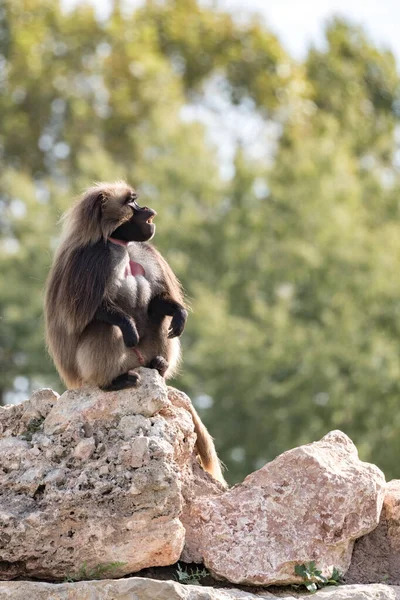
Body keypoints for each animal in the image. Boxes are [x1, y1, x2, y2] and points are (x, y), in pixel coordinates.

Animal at [45, 180, 227, 486]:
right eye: (131, 203)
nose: (148, 209)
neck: (121, 246)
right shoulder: (91, 260)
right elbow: (84, 314)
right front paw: (128, 326)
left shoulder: (147, 252)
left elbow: (158, 303)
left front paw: (179, 311)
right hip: (100, 367)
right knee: (106, 328)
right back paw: (112, 381)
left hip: (145, 355)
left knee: (160, 320)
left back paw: (160, 364)